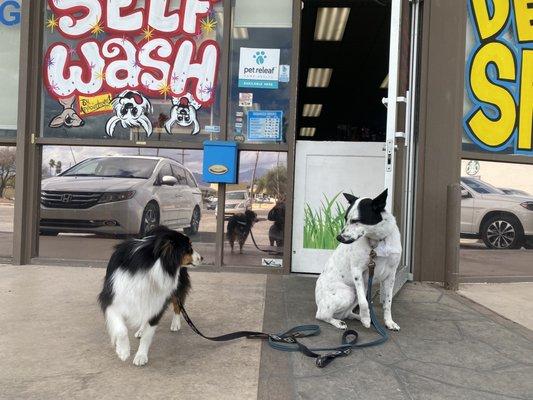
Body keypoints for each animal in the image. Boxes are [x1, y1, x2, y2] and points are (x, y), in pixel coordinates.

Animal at [97, 225, 202, 366]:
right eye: (188, 248)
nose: (202, 258)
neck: (153, 265)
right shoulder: (111, 298)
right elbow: (121, 329)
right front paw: (123, 351)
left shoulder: (158, 303)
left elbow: (148, 335)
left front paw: (141, 356)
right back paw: (140, 330)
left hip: (177, 285)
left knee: (177, 303)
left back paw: (175, 323)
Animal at [314, 190, 402, 332]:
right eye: (345, 218)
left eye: (356, 221)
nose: (338, 237)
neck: (377, 241)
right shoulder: (357, 271)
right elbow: (364, 302)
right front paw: (366, 319)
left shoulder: (391, 275)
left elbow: (388, 303)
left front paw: (389, 322)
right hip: (349, 293)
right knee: (322, 314)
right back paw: (340, 322)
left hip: (357, 292)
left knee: (346, 313)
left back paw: (358, 317)